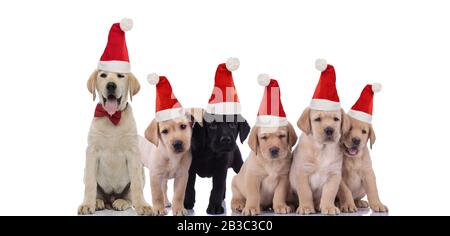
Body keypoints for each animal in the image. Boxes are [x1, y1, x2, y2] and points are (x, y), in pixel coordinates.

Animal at [78, 19, 152, 216]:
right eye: (103, 75)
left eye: (120, 76)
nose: (111, 85)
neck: (112, 118)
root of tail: (111, 199)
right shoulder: (92, 152)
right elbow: (90, 184)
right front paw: (87, 204)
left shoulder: (133, 154)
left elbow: (136, 185)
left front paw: (142, 206)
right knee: (98, 191)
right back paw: (98, 202)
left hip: (142, 171)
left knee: (129, 193)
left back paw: (122, 202)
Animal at [184, 58, 253, 215]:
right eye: (213, 126)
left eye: (233, 125)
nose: (226, 140)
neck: (209, 152)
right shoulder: (190, 168)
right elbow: (189, 186)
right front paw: (187, 203)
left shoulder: (221, 169)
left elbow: (217, 188)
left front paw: (215, 206)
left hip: (238, 163)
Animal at [230, 75, 298, 216]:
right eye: (264, 138)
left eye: (282, 136)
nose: (274, 150)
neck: (271, 163)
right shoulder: (252, 177)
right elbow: (253, 195)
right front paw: (251, 207)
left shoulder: (284, 178)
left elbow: (279, 194)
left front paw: (280, 206)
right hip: (235, 183)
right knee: (235, 198)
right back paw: (240, 205)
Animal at [288, 59, 352, 216]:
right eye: (317, 119)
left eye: (336, 119)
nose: (329, 129)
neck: (322, 149)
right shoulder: (302, 173)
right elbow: (305, 193)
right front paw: (306, 207)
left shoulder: (334, 175)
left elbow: (329, 193)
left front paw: (328, 207)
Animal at [338, 83, 386, 212]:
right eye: (349, 128)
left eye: (364, 131)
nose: (356, 140)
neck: (353, 159)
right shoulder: (339, 177)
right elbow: (346, 191)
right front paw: (348, 205)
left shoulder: (368, 174)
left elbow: (373, 190)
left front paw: (377, 204)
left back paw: (360, 202)